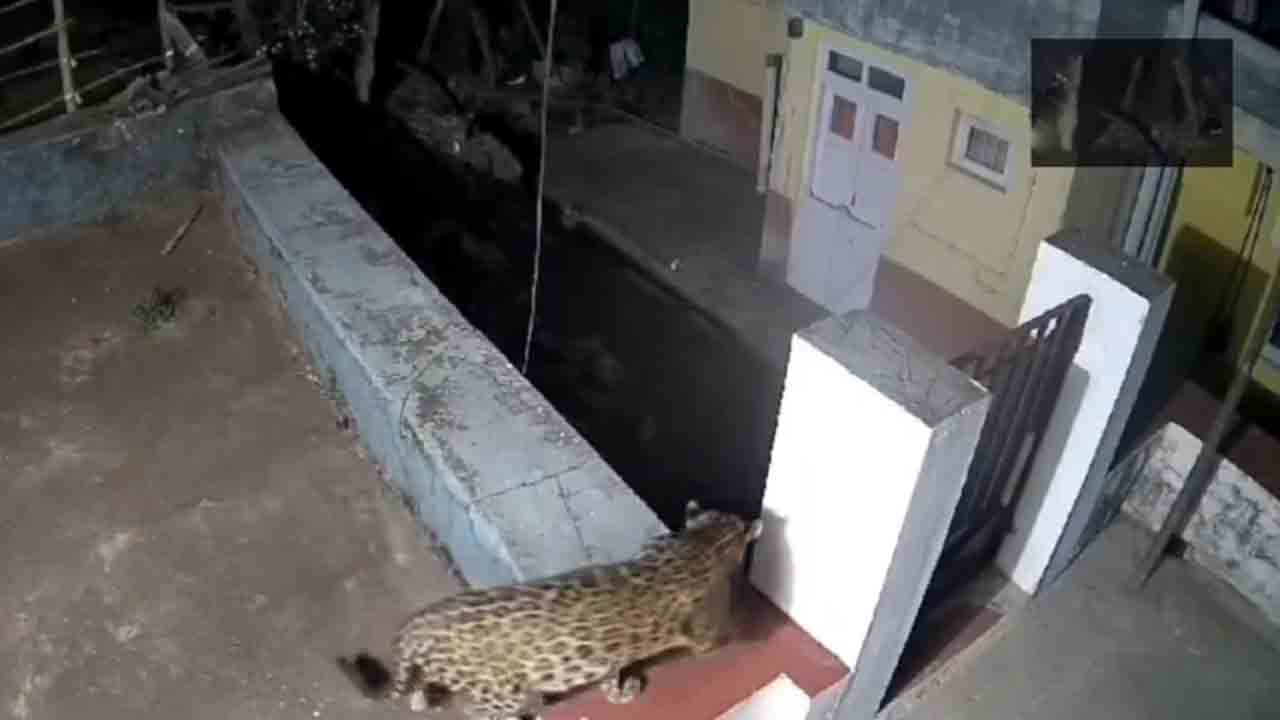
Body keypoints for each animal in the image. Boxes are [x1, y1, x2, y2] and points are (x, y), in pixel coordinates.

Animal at [338, 500, 764, 720]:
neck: (698, 543)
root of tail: (415, 625)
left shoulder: (605, 655)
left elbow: (609, 673)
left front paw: (619, 690)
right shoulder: (707, 632)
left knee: (424, 681)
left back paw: (420, 698)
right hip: (500, 694)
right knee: (477, 710)